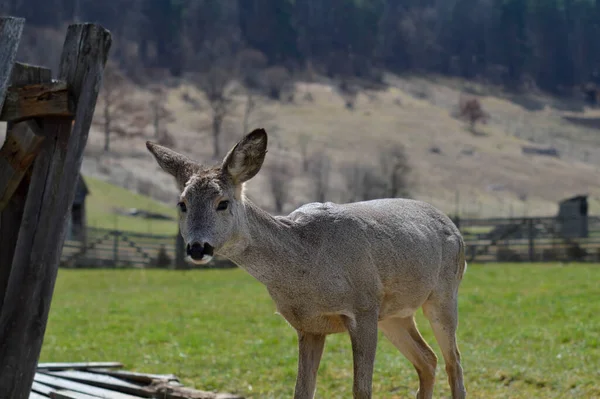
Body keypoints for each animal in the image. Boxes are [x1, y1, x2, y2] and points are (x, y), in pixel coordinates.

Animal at [145, 129, 468, 399]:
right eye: (182, 204)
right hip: (394, 314)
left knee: (454, 361)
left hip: (444, 293)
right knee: (428, 359)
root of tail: (453, 225)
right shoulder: (308, 324)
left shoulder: (363, 306)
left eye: (222, 203)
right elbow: (302, 391)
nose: (197, 247)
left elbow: (362, 390)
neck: (307, 263)